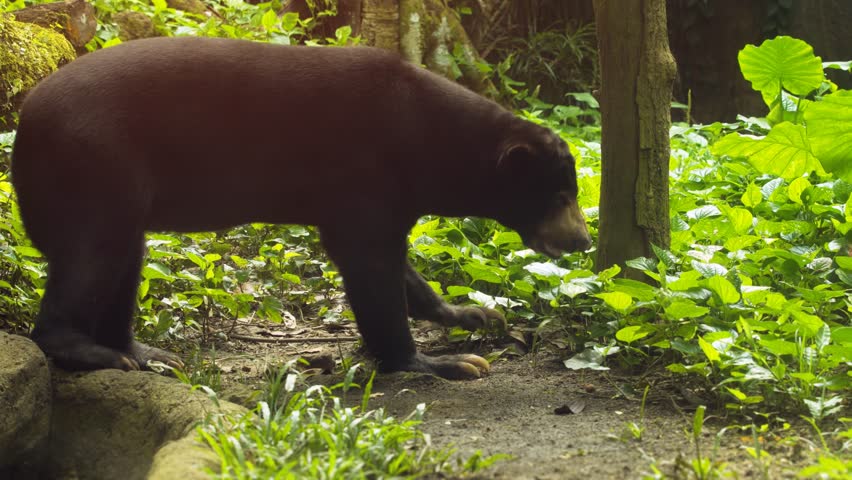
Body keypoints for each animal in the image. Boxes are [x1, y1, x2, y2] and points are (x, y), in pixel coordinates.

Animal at [11, 36, 591, 380]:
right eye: (560, 196)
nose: (583, 240)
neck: (429, 139)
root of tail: (24, 123)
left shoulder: (380, 194)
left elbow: (394, 266)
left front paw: (473, 314)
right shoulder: (365, 171)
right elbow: (370, 268)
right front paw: (440, 362)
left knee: (124, 260)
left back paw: (143, 353)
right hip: (96, 167)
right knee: (94, 255)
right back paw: (98, 352)